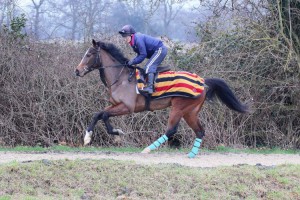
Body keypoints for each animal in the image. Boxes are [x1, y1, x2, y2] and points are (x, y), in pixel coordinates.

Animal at [74, 39, 247, 158]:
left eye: (89, 54)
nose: (77, 71)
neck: (121, 78)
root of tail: (204, 82)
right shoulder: (116, 105)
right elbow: (99, 114)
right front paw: (89, 137)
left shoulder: (127, 107)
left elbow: (103, 114)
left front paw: (114, 133)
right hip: (190, 112)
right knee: (200, 131)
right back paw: (191, 155)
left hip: (179, 108)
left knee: (171, 130)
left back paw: (147, 149)